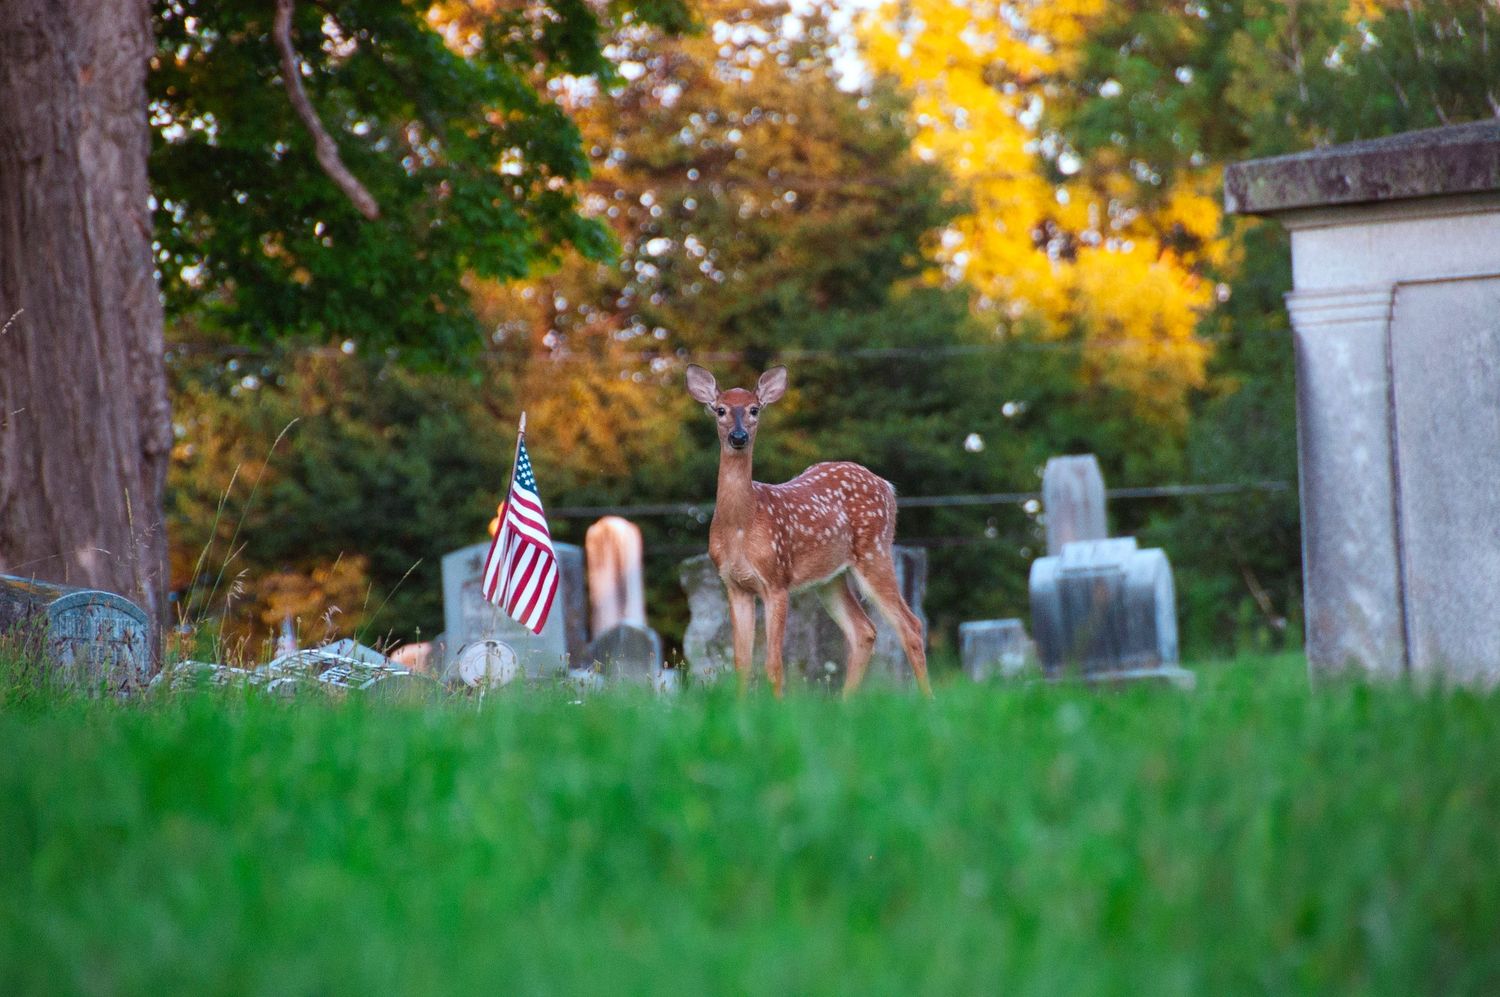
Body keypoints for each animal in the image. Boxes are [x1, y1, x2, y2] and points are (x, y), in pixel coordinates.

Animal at [686, 364, 932, 699]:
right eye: (720, 409)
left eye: (754, 409)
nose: (739, 436)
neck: (741, 525)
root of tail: (887, 486)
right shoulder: (734, 585)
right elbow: (741, 664)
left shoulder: (777, 579)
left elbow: (774, 664)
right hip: (830, 577)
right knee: (864, 630)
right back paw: (844, 704)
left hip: (875, 550)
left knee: (910, 625)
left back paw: (929, 701)